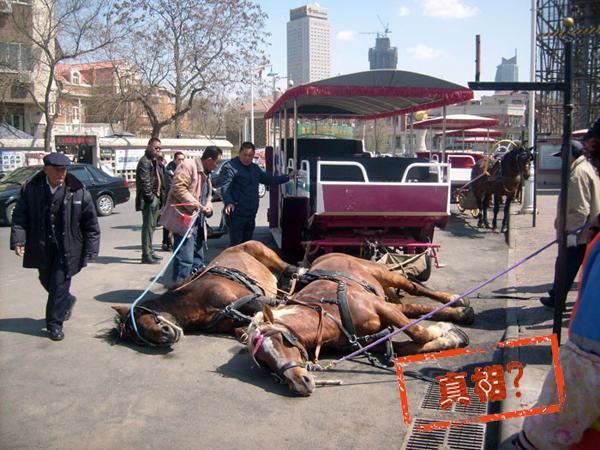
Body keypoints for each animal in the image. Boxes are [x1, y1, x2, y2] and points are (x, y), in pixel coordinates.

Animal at [110, 241, 302, 346]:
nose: (166, 335)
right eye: (138, 339)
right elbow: (245, 328)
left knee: (284, 266)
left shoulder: (251, 299)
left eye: (141, 315)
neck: (197, 301)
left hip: (261, 250)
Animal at [244, 253, 474, 398]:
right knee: (411, 306)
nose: (299, 383)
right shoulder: (365, 340)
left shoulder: (381, 307)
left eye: (279, 339)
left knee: (415, 289)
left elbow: (418, 333)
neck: (328, 311)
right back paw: (458, 312)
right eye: (264, 361)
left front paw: (441, 330)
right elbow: (407, 347)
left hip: (385, 275)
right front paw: (450, 337)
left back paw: (456, 301)